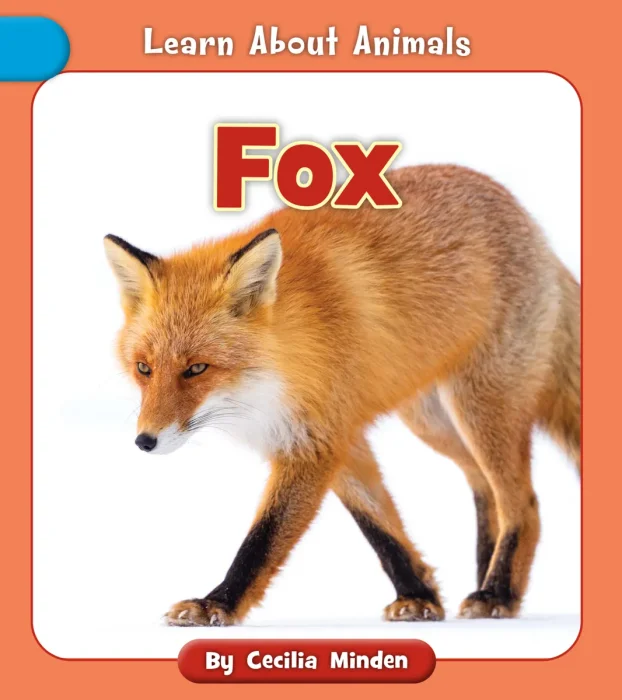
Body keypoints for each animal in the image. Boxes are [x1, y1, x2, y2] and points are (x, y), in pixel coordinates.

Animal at [104, 164, 580, 626]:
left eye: (196, 369)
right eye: (144, 368)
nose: (145, 441)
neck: (281, 362)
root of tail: (530, 223)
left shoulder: (317, 440)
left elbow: (263, 538)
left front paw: (215, 604)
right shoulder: (336, 435)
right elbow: (379, 525)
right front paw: (418, 596)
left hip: (480, 407)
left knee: (524, 503)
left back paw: (497, 593)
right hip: (431, 421)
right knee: (482, 484)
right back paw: (485, 578)